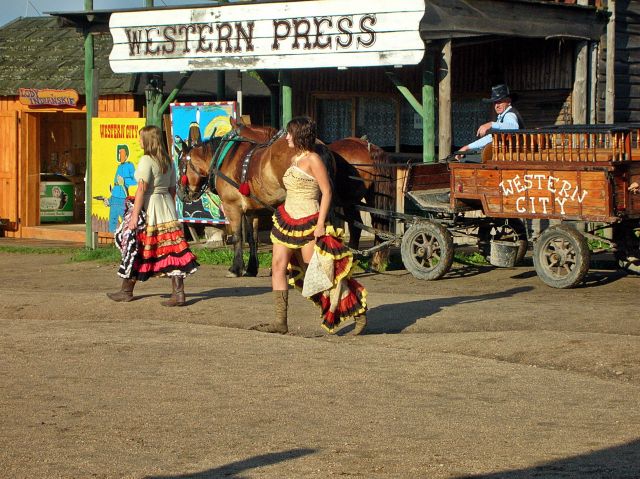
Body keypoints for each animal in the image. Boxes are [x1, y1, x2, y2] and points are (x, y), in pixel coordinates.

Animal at [178, 124, 392, 278]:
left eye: (181, 165)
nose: (181, 194)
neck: (229, 158)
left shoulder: (233, 207)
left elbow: (239, 237)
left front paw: (236, 268)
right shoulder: (253, 210)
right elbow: (253, 238)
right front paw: (252, 267)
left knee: (349, 228)